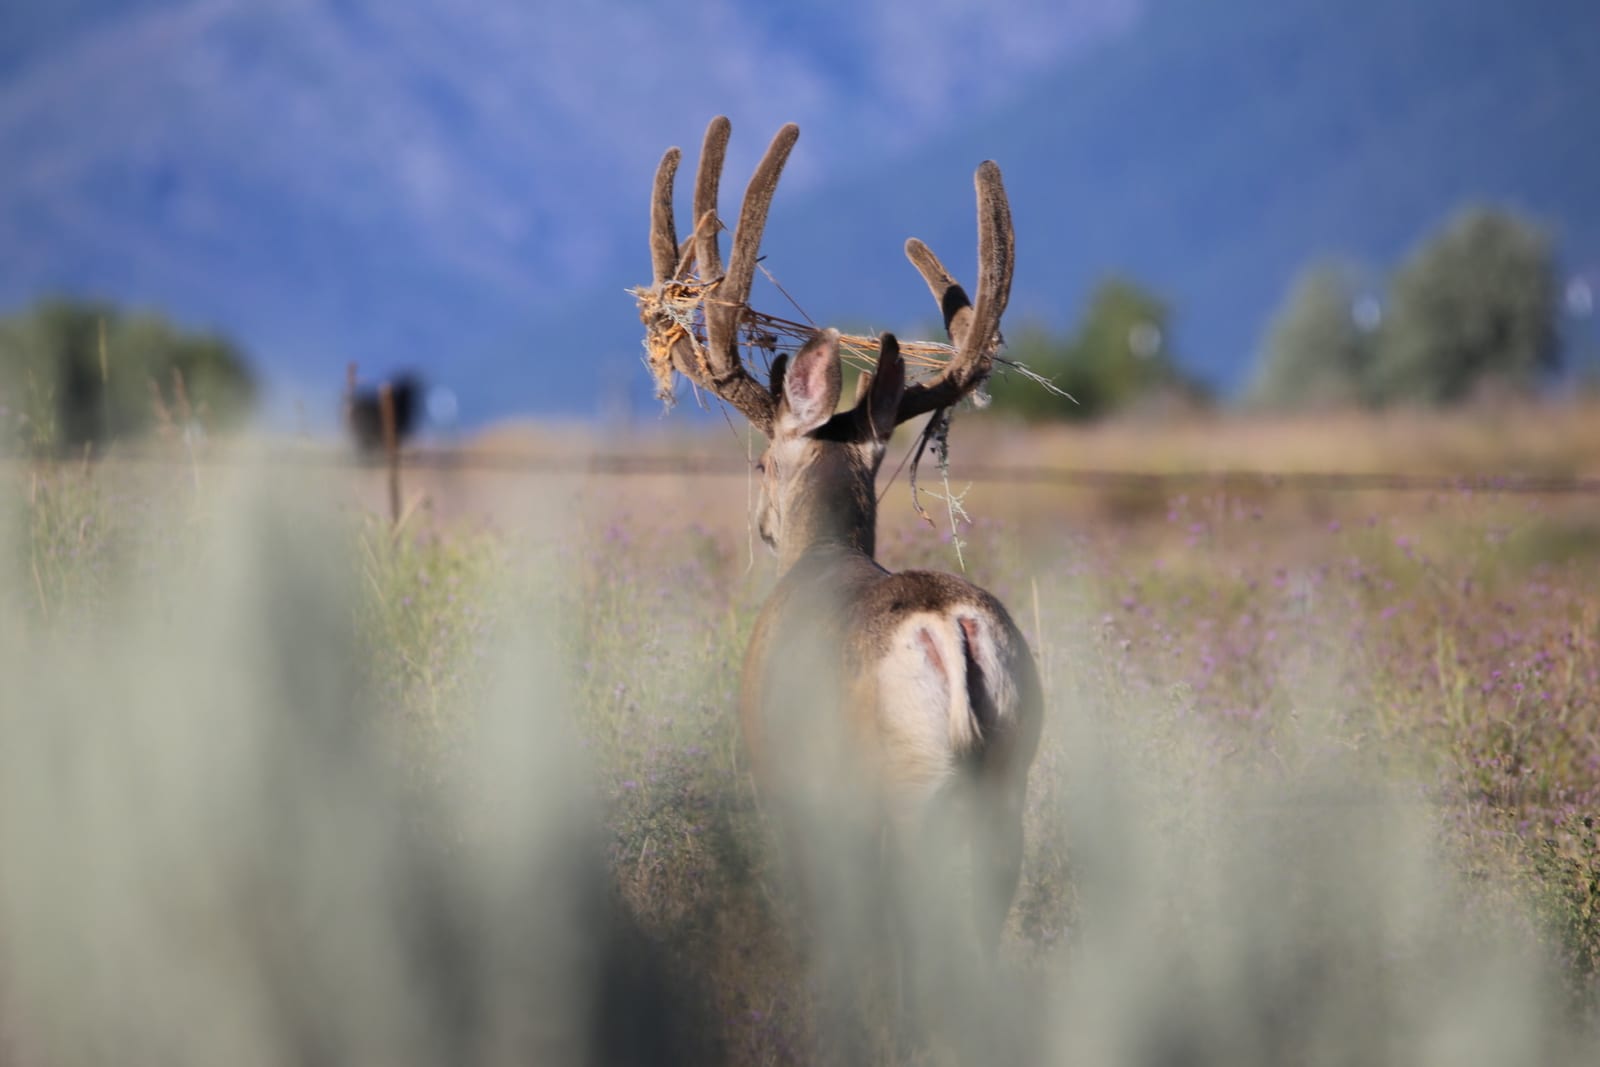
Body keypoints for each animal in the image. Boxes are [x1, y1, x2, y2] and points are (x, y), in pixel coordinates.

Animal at [643, 116, 1044, 1039]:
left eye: (761, 459)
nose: (758, 522)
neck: (824, 554)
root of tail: (948, 628)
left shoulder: (789, 791)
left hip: (899, 791)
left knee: (908, 943)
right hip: (1009, 775)